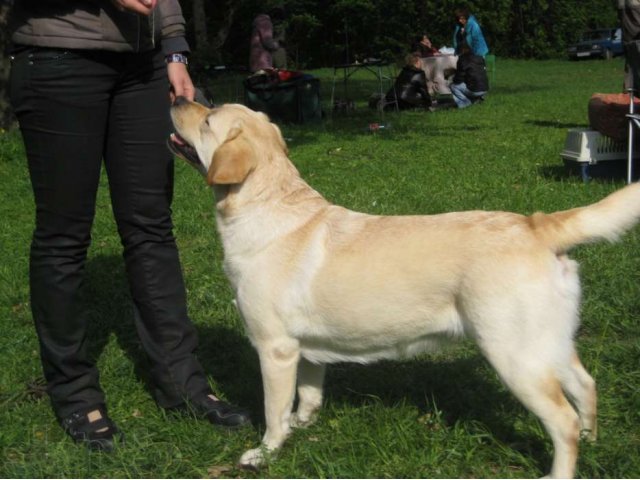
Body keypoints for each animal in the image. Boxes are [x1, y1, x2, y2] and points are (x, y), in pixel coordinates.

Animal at [169, 99, 640, 478]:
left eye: (207, 119)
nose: (176, 97)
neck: (267, 205)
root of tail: (535, 224)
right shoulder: (305, 349)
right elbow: (308, 394)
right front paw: (301, 426)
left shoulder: (275, 348)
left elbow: (273, 409)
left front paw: (265, 452)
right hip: (548, 344)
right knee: (586, 386)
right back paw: (593, 441)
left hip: (514, 355)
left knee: (562, 419)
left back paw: (560, 470)